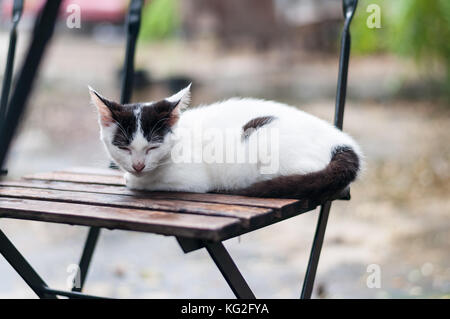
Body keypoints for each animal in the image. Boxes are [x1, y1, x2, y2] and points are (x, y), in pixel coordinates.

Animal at [89, 84, 364, 204]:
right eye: (124, 147)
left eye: (152, 148)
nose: (137, 166)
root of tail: (341, 142)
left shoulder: (191, 178)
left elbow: (144, 183)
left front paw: (133, 179)